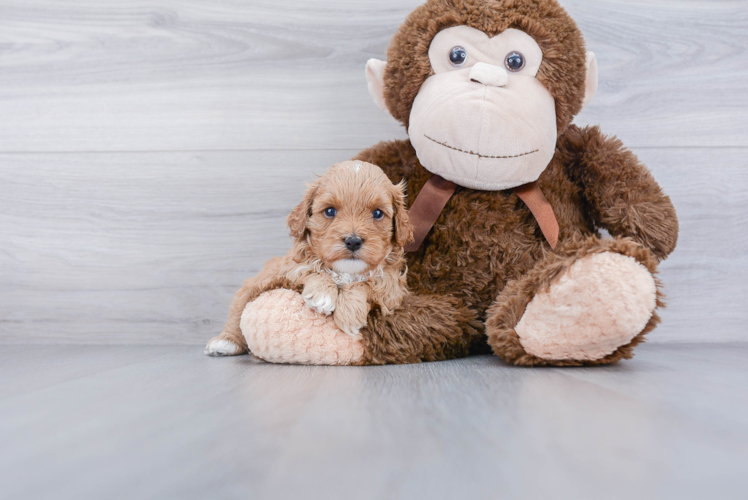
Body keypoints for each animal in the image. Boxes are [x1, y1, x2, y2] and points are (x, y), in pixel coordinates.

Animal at [206, 160, 414, 356]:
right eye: (330, 211)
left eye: (377, 213)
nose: (353, 241)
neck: (345, 271)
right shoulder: (289, 271)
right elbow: (311, 269)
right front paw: (323, 296)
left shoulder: (393, 288)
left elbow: (366, 284)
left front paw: (349, 314)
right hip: (252, 285)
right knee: (237, 313)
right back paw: (225, 342)